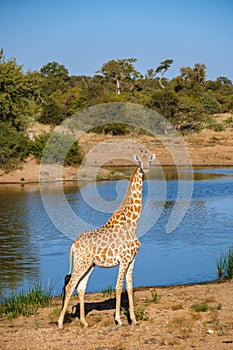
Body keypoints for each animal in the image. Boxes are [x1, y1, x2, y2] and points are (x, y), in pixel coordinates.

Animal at [58, 150, 156, 328]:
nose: (145, 168)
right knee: (70, 285)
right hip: (81, 262)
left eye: (149, 160)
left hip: (89, 264)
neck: (132, 222)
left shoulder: (132, 259)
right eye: (140, 160)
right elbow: (117, 287)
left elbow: (129, 288)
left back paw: (84, 322)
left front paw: (134, 320)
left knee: (80, 287)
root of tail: (73, 245)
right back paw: (60, 323)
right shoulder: (123, 259)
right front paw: (119, 320)